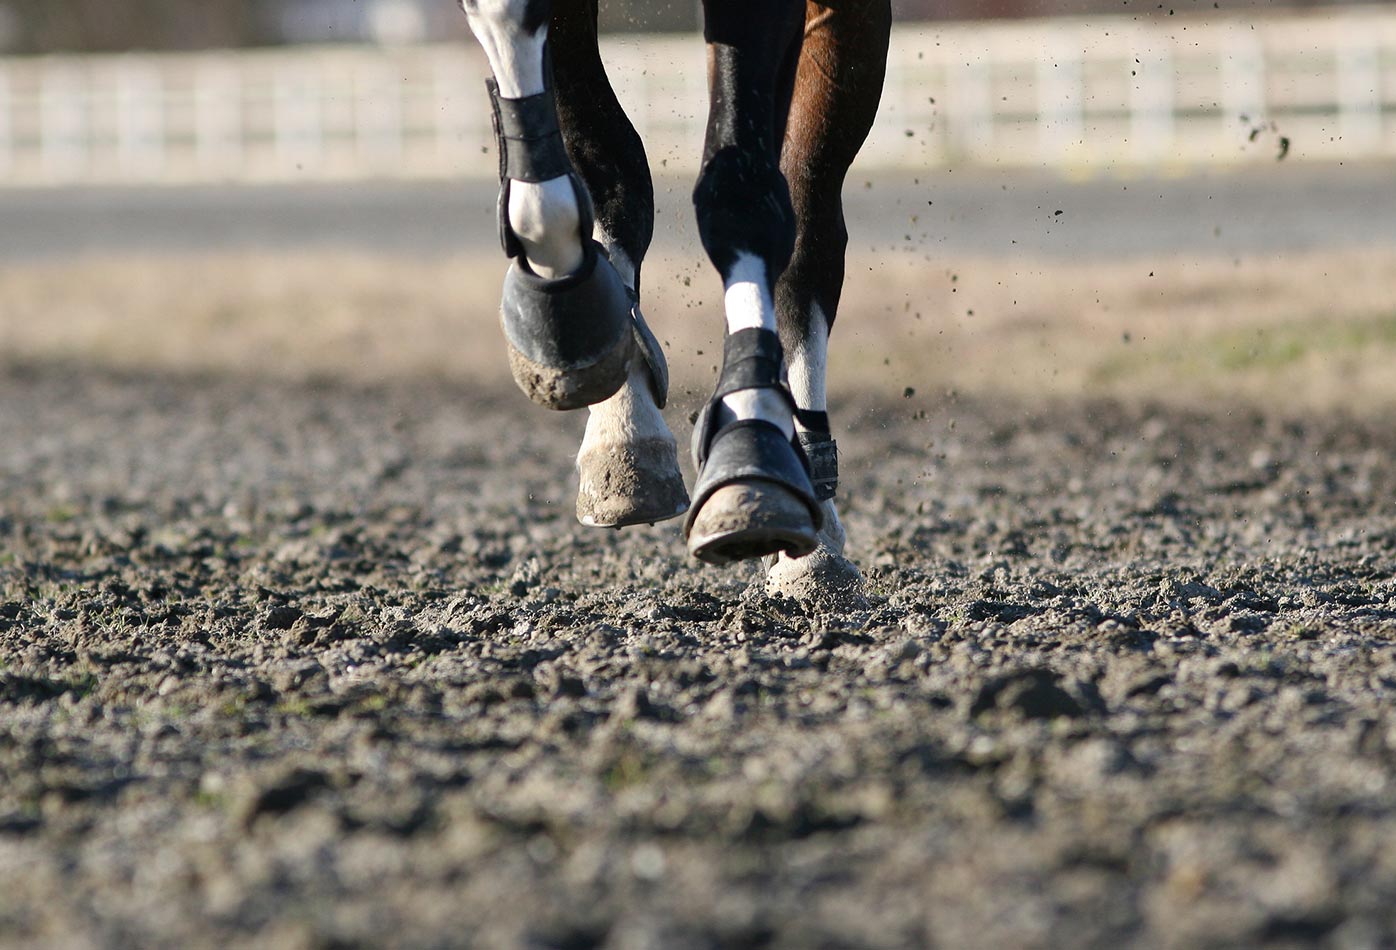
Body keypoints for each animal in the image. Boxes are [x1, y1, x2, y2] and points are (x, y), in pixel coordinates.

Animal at [458, 0, 891, 597]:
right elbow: (603, 156)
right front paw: (619, 427)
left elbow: (743, 189)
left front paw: (752, 444)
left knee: (807, 217)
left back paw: (811, 534)